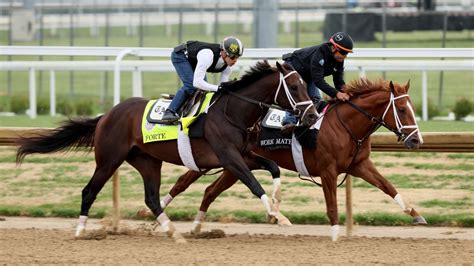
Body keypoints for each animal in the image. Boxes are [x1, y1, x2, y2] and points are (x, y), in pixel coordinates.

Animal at [16, 60, 316, 243]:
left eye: (305, 84)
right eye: (293, 86)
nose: (312, 115)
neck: (232, 112)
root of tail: (107, 115)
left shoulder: (241, 156)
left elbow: (273, 169)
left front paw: (278, 207)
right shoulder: (230, 158)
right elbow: (254, 184)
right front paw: (278, 215)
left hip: (148, 162)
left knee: (151, 198)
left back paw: (174, 233)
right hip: (109, 160)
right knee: (89, 191)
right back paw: (80, 230)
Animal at [162, 77, 426, 241]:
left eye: (413, 108)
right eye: (402, 110)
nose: (416, 140)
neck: (345, 125)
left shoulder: (360, 165)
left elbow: (388, 186)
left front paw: (416, 214)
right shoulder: (328, 171)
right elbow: (332, 205)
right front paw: (334, 236)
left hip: (235, 165)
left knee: (209, 190)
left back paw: (195, 226)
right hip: (223, 159)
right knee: (185, 182)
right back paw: (161, 215)